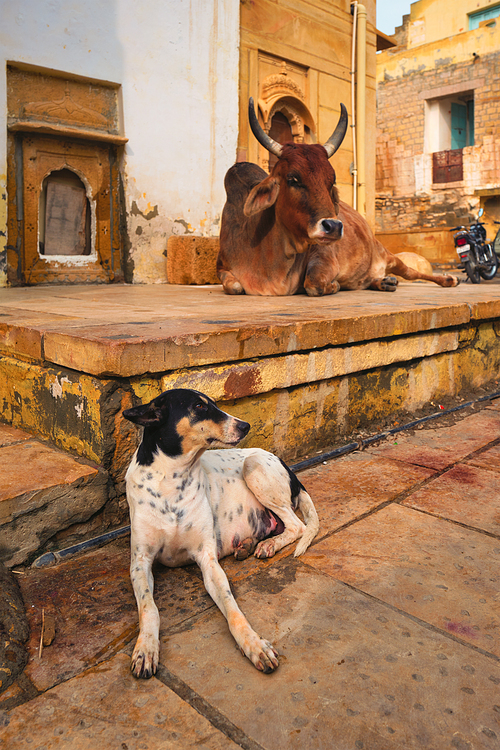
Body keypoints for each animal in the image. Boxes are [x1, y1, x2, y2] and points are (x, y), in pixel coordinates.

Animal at [123, 390, 318, 680]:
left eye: (212, 403)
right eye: (199, 406)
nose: (246, 425)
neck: (172, 478)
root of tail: (291, 471)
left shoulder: (208, 560)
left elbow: (232, 609)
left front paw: (254, 645)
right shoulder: (140, 563)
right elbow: (149, 608)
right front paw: (146, 647)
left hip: (253, 465)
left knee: (297, 526)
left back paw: (269, 545)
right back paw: (248, 545)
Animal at [217, 101, 458, 296]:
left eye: (331, 180)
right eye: (293, 178)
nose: (333, 226)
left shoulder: (323, 253)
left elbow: (313, 284)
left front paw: (334, 285)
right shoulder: (222, 266)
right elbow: (235, 286)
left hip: (387, 254)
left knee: (411, 272)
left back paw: (447, 279)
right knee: (373, 279)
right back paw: (384, 282)